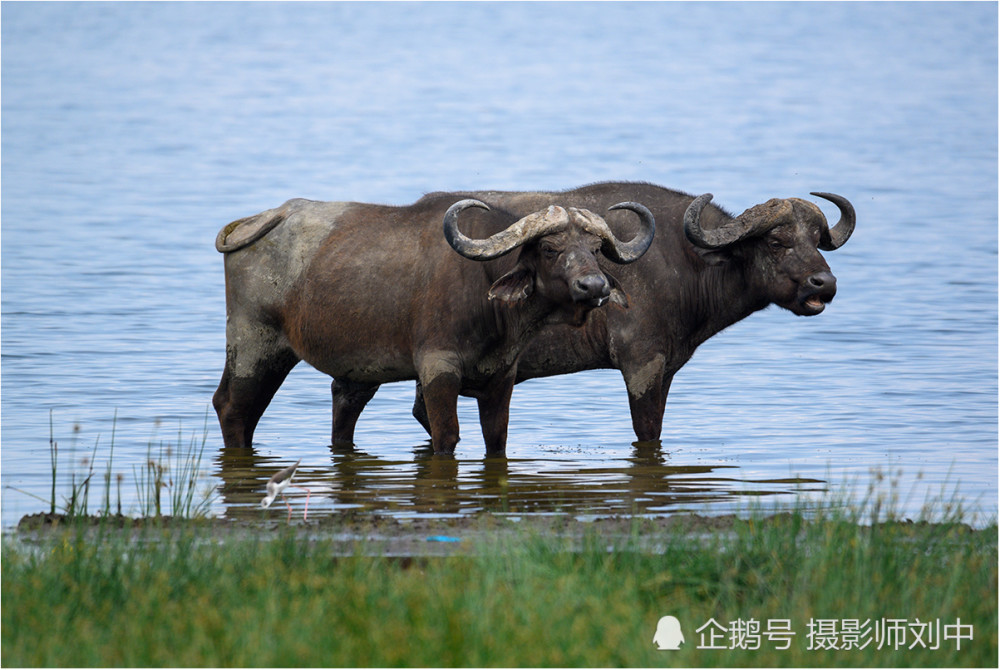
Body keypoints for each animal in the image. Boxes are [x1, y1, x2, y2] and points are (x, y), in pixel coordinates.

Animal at [211, 194, 656, 456]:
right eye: (549, 248)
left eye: (596, 249)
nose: (594, 286)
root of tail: (268, 216)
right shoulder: (438, 369)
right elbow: (447, 437)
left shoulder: (502, 376)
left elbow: (496, 439)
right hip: (255, 345)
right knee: (232, 406)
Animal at [328, 181, 852, 448]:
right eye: (777, 241)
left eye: (816, 238)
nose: (823, 284)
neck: (684, 260)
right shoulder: (641, 364)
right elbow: (648, 430)